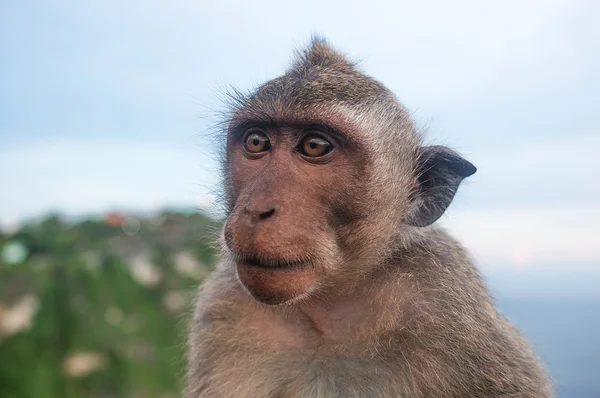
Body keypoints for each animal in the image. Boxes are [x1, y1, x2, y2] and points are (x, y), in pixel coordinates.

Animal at [186, 35, 552, 396]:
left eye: (315, 146)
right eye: (256, 142)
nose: (256, 209)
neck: (328, 311)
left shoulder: (448, 301)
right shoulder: (225, 307)